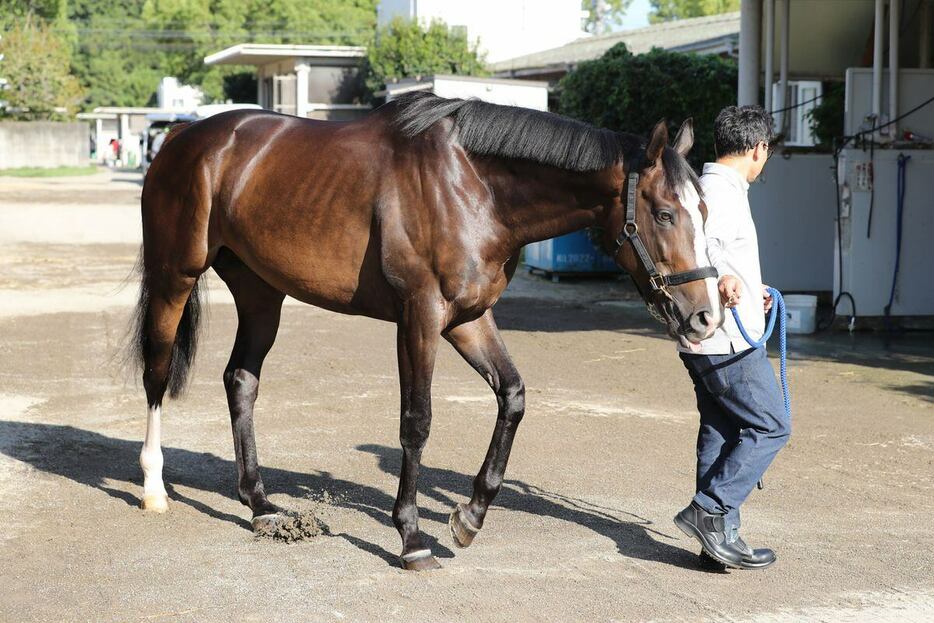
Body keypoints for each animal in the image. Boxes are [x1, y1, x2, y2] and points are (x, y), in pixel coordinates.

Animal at [128, 91, 720, 572]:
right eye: (664, 214)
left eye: (705, 210)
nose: (706, 316)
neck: (473, 186)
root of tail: (183, 137)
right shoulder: (420, 317)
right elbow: (416, 422)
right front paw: (411, 538)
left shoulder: (468, 319)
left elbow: (513, 396)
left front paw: (469, 517)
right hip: (174, 275)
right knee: (157, 372)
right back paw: (154, 488)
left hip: (260, 293)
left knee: (241, 380)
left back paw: (261, 505)